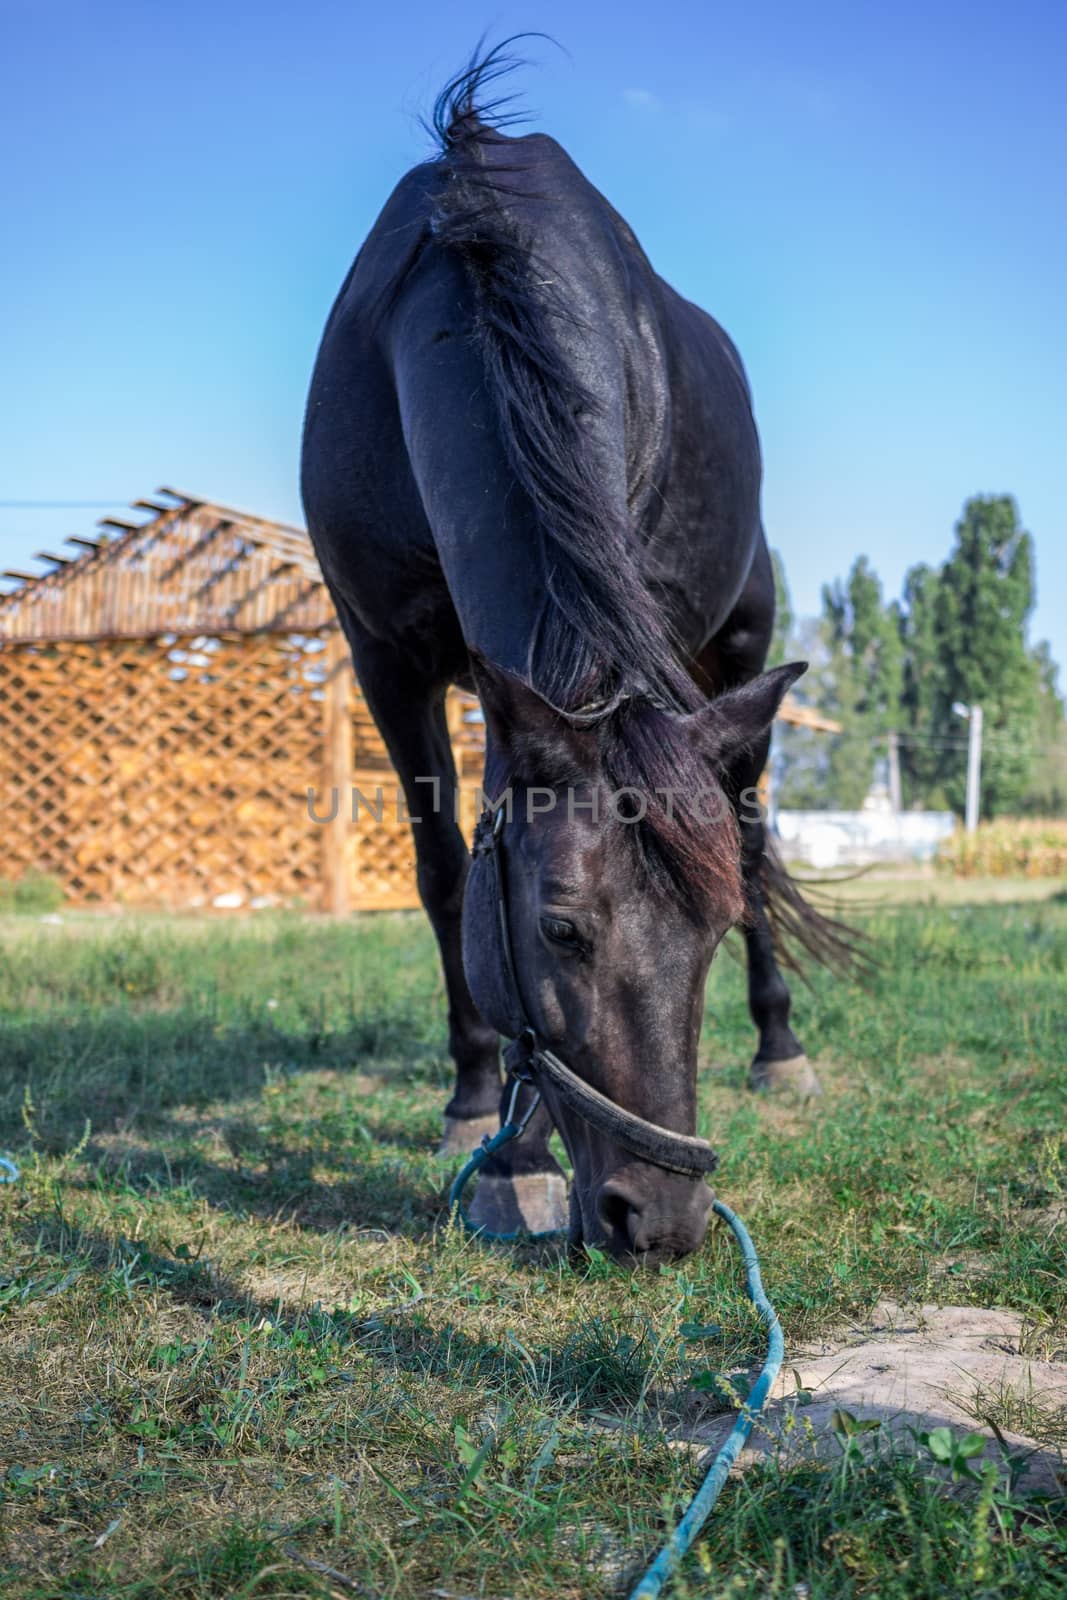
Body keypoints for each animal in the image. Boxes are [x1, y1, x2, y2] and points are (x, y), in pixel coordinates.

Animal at [302, 46, 851, 1260]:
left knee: (750, 834)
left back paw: (779, 1050)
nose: (662, 1220)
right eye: (559, 929)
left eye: (708, 937)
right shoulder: (385, 657)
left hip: (737, 651)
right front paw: (491, 1128)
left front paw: (521, 1151)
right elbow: (441, 869)